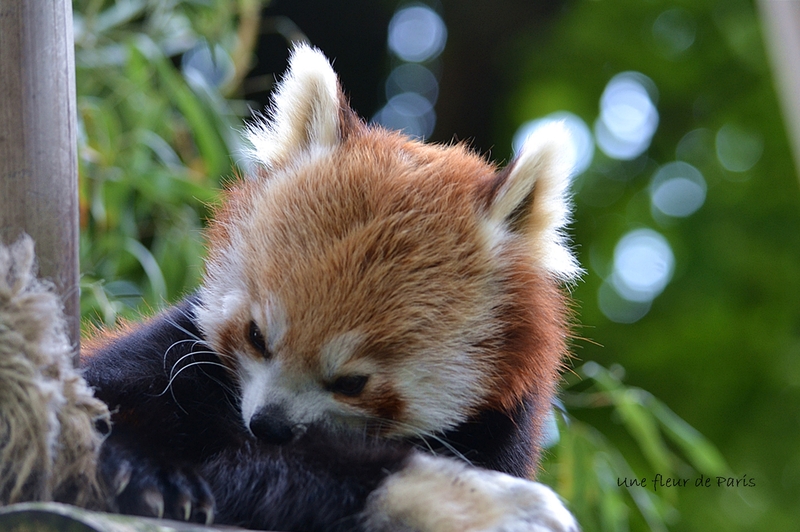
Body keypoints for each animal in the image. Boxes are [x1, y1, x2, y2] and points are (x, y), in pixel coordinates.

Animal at [81, 45, 580, 532]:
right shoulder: (176, 348)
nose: (270, 425)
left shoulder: (498, 429)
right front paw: (485, 504)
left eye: (352, 383)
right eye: (256, 336)